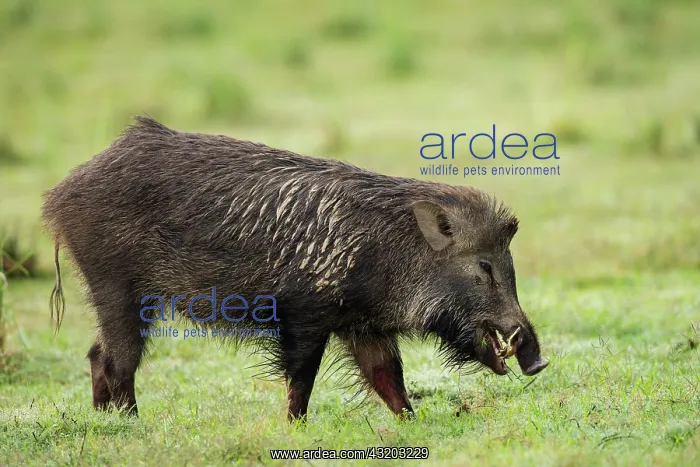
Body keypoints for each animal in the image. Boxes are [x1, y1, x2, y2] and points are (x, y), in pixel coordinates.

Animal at [42, 117, 549, 421]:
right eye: (484, 265)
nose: (539, 360)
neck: (384, 252)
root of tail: (60, 193)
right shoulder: (305, 315)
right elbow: (302, 379)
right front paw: (294, 428)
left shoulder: (362, 325)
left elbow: (388, 378)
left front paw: (411, 422)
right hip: (114, 281)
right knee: (118, 359)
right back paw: (131, 423)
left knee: (96, 354)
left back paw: (109, 422)